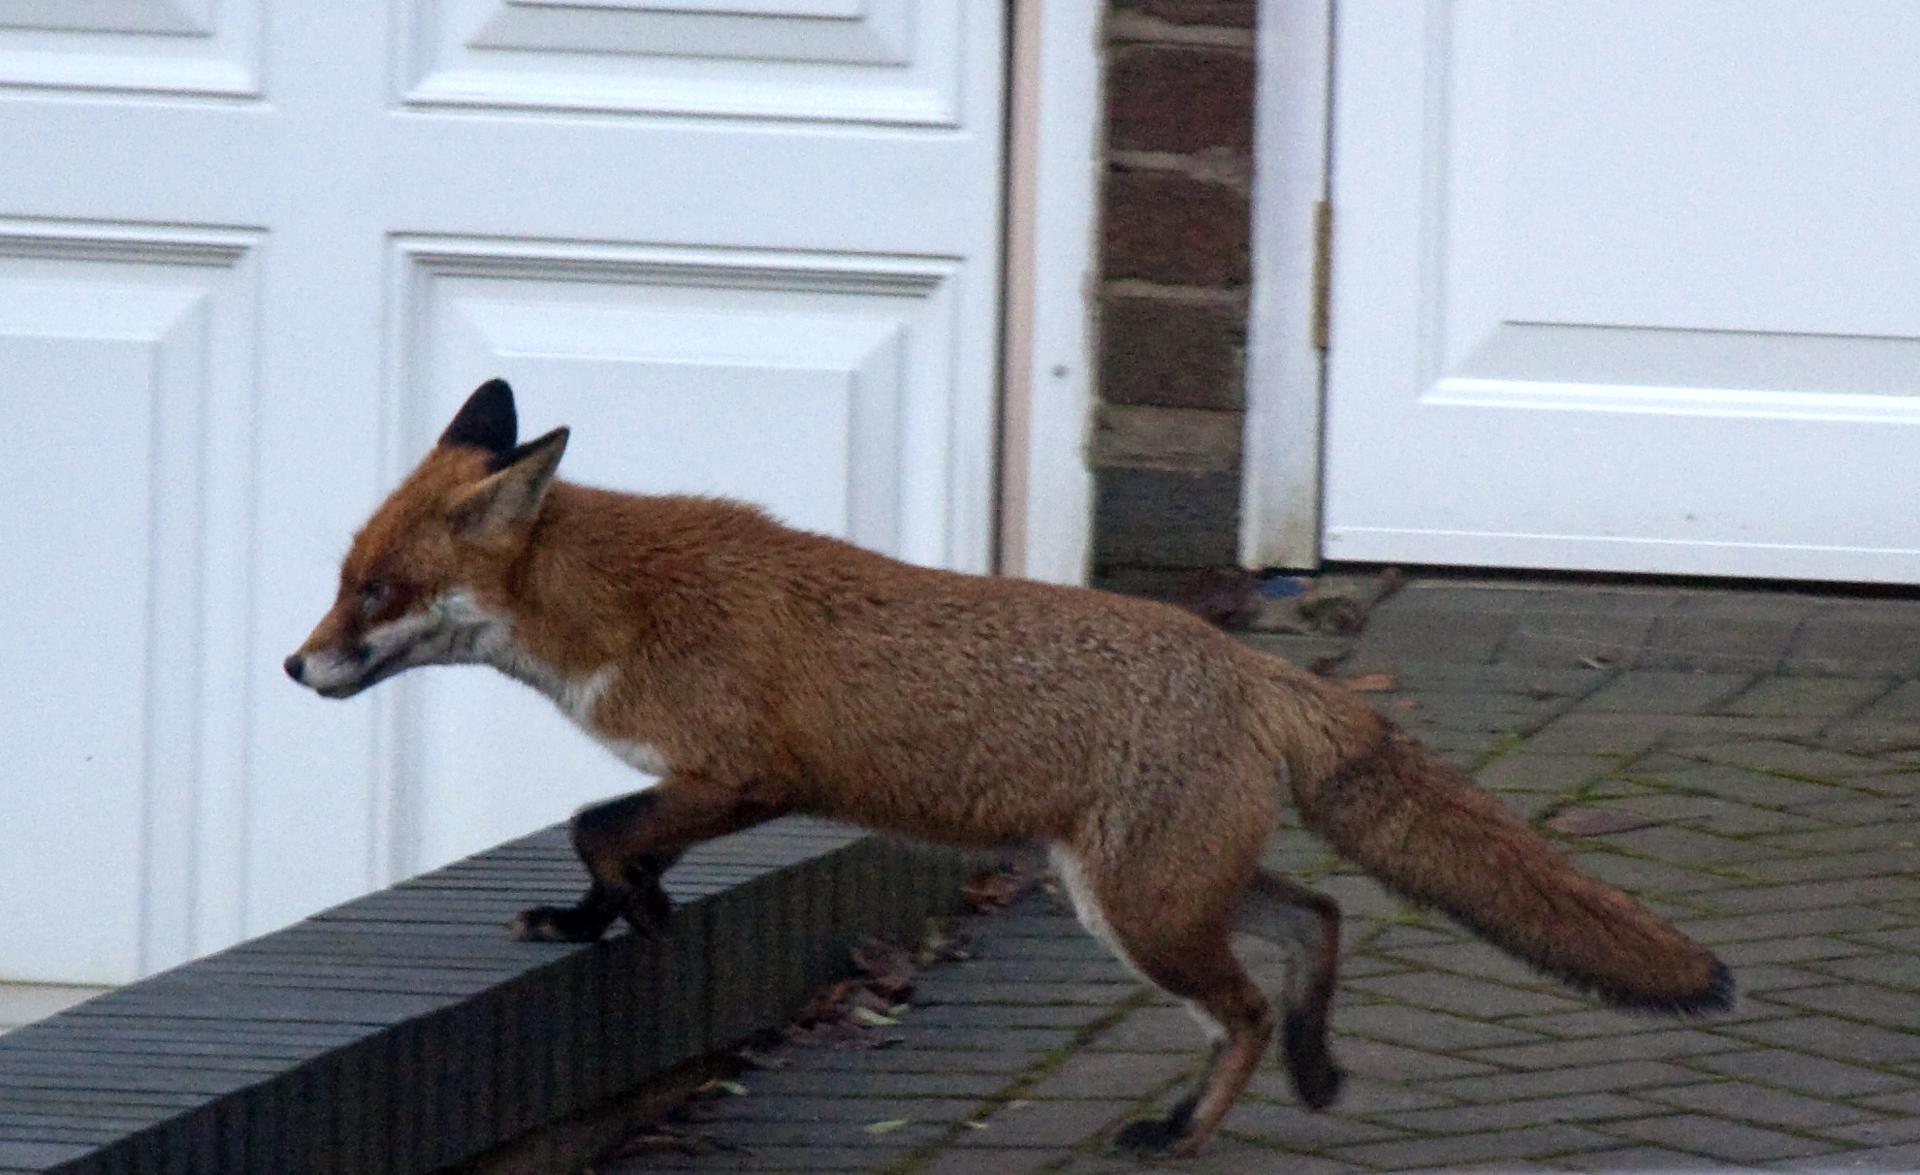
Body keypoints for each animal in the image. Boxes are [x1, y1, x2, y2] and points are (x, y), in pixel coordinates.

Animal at [288, 378, 1743, 1159]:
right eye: (342, 578)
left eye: (377, 591)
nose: (296, 669)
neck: (619, 604)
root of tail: (1254, 663)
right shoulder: (710, 786)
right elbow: (607, 839)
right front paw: (595, 920)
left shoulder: (746, 774)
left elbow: (600, 822)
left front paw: (626, 909)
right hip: (1160, 887)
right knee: (1320, 917)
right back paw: (1318, 1069)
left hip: (1138, 909)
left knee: (1245, 1003)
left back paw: (1183, 1131)